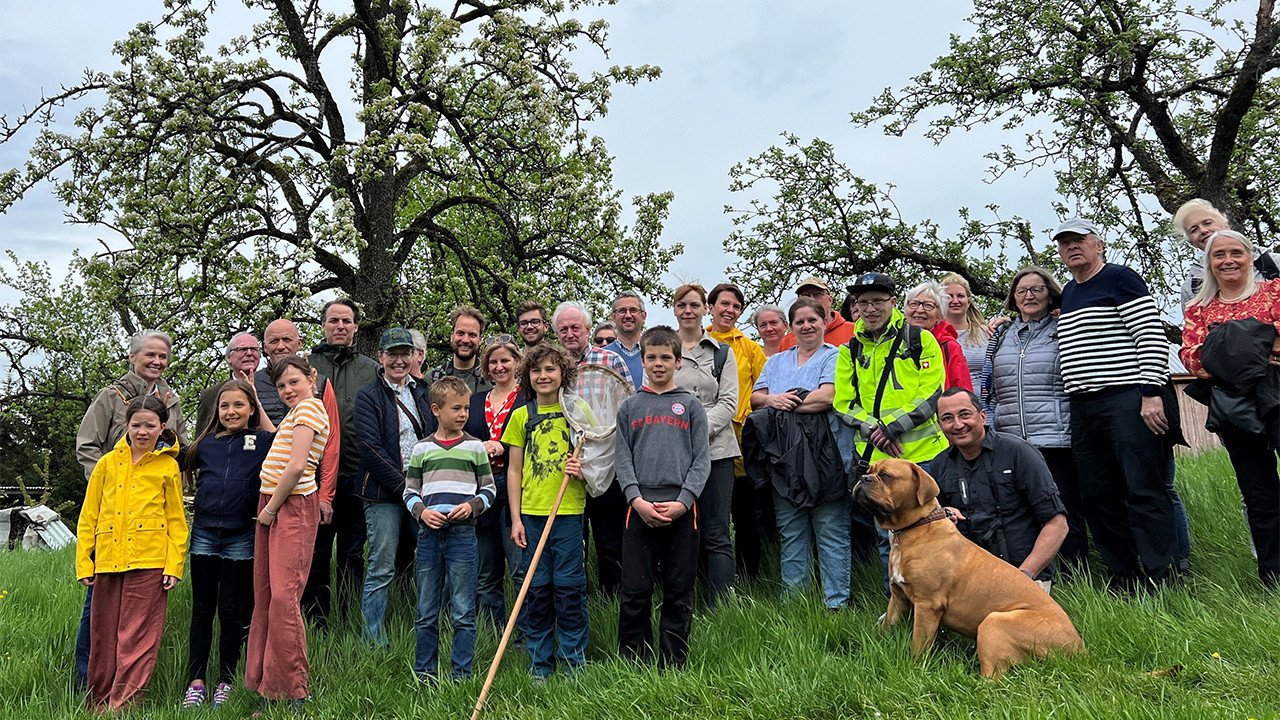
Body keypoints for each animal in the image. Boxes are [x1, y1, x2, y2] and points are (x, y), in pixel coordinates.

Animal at [855, 456, 1085, 676]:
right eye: (869, 470)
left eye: (886, 476)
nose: (863, 478)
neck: (913, 529)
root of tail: (1078, 647)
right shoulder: (898, 598)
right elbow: (886, 626)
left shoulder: (927, 605)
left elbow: (918, 645)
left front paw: (914, 668)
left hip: (993, 622)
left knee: (992, 678)